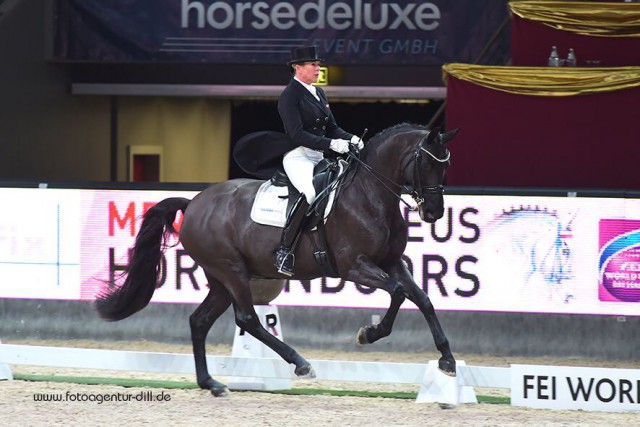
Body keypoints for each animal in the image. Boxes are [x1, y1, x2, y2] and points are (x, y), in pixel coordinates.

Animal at [95, 123, 458, 398]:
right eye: (427, 163)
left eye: (446, 165)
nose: (434, 212)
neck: (370, 194)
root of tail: (194, 202)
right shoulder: (354, 266)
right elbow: (398, 292)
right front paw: (369, 334)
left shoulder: (393, 262)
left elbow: (422, 299)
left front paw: (448, 361)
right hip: (232, 271)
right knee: (248, 319)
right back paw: (300, 363)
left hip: (220, 280)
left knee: (200, 321)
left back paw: (211, 383)